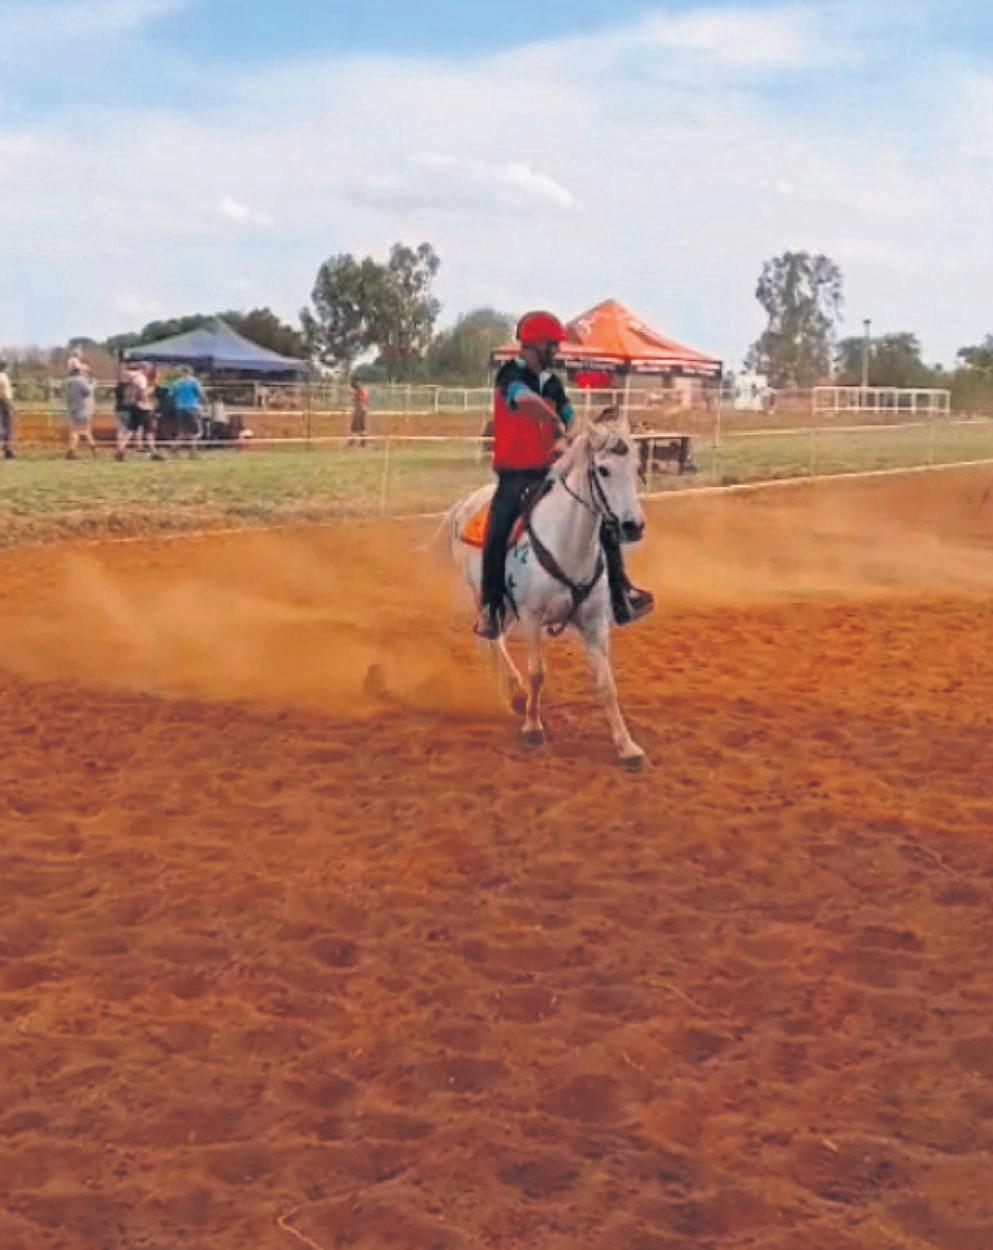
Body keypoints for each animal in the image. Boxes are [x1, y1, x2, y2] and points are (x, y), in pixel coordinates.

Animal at [449, 415, 648, 770]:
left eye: (636, 466)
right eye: (603, 470)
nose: (632, 526)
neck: (568, 543)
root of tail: (466, 503)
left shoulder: (594, 623)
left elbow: (606, 684)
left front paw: (626, 746)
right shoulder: (532, 617)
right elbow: (537, 673)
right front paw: (533, 728)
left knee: (494, 640)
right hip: (486, 597)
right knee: (492, 638)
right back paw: (516, 694)